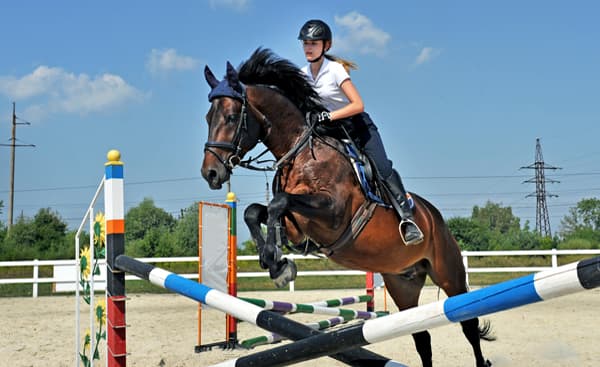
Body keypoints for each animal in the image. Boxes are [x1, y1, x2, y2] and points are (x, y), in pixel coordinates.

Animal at [202, 49, 492, 367]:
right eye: (208, 117)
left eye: (231, 117)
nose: (211, 173)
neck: (302, 153)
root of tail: (434, 217)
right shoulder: (297, 224)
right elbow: (254, 211)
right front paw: (277, 263)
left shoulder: (333, 214)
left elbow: (279, 202)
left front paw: (276, 262)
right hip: (403, 284)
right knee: (421, 337)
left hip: (449, 273)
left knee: (469, 325)